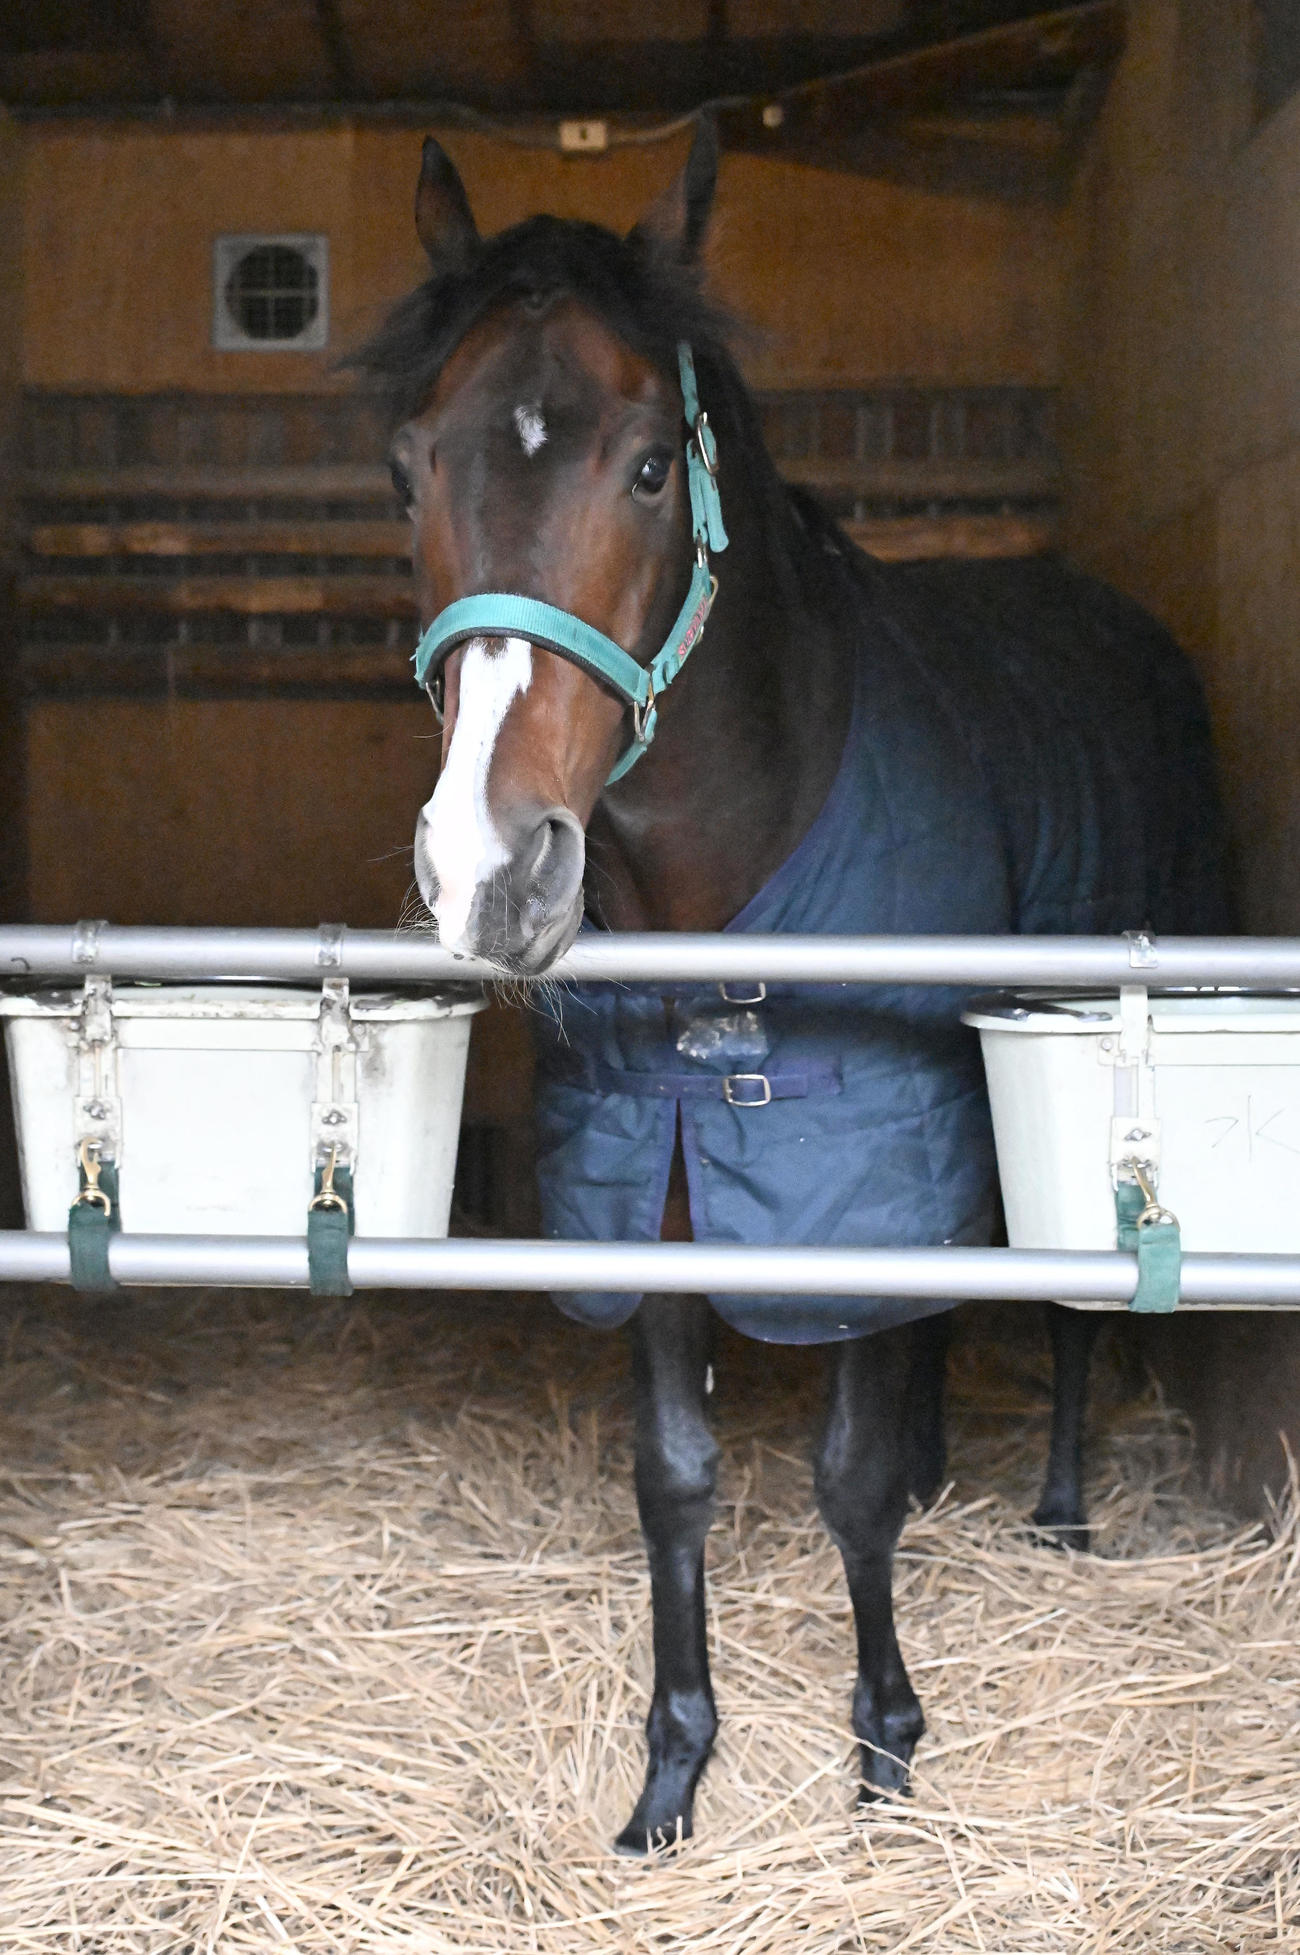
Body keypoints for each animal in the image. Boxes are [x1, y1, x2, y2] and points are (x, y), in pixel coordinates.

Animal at [354, 120, 1228, 1850]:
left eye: (646, 467)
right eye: (411, 467)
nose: (491, 865)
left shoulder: (863, 1147)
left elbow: (847, 1476)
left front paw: (885, 1744)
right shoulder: (661, 1169)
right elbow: (677, 1471)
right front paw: (674, 1764)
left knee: (1065, 1306)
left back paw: (1059, 1506)